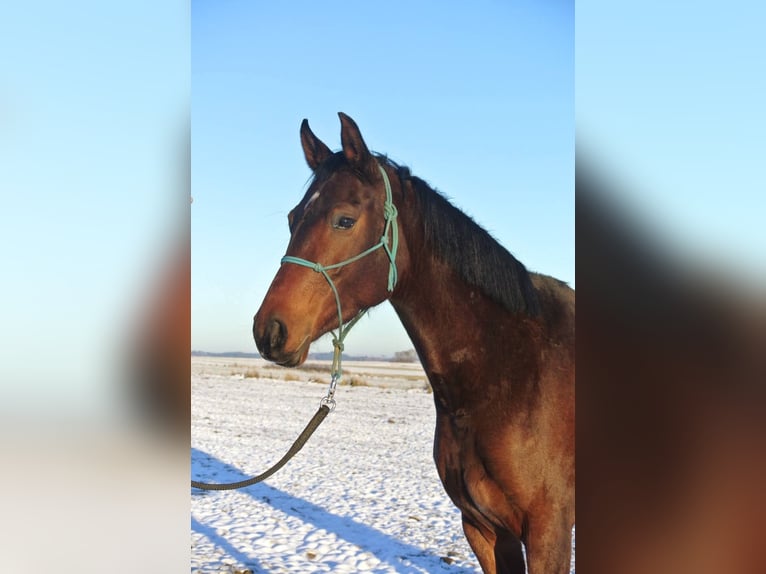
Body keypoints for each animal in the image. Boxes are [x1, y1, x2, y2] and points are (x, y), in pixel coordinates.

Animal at [253, 113, 575, 574]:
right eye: (293, 219)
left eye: (344, 220)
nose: (269, 331)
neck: (510, 371)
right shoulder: (485, 529)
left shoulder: (549, 532)